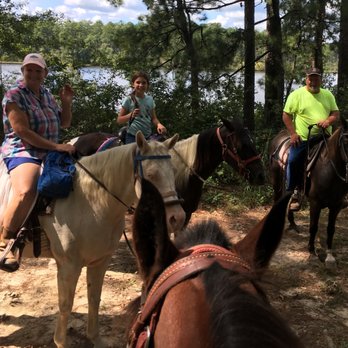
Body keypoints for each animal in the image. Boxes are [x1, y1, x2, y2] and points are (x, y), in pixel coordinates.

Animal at [0, 131, 186, 348]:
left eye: (173, 172)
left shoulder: (100, 261)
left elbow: (94, 298)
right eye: (150, 175)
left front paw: (94, 338)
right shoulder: (68, 266)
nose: (176, 218)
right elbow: (65, 305)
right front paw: (61, 342)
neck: (91, 202)